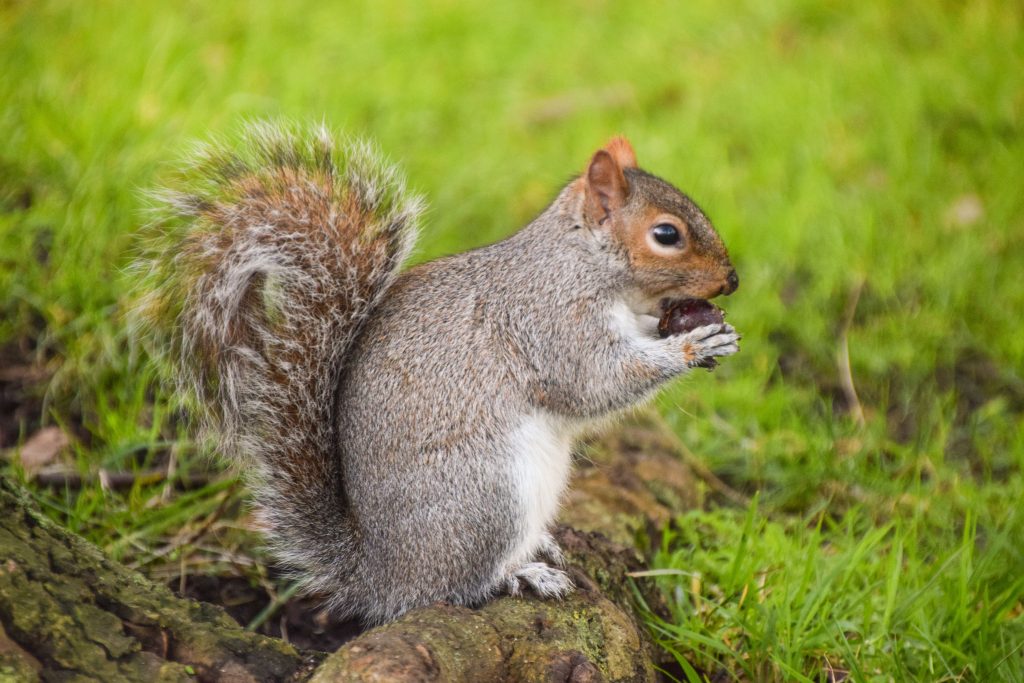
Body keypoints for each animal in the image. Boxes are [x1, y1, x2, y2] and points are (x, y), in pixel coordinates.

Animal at [135, 121, 740, 626]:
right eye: (667, 235)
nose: (732, 280)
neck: (582, 262)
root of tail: (380, 576)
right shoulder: (550, 319)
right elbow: (593, 384)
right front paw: (691, 345)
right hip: (488, 494)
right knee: (455, 587)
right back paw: (521, 572)